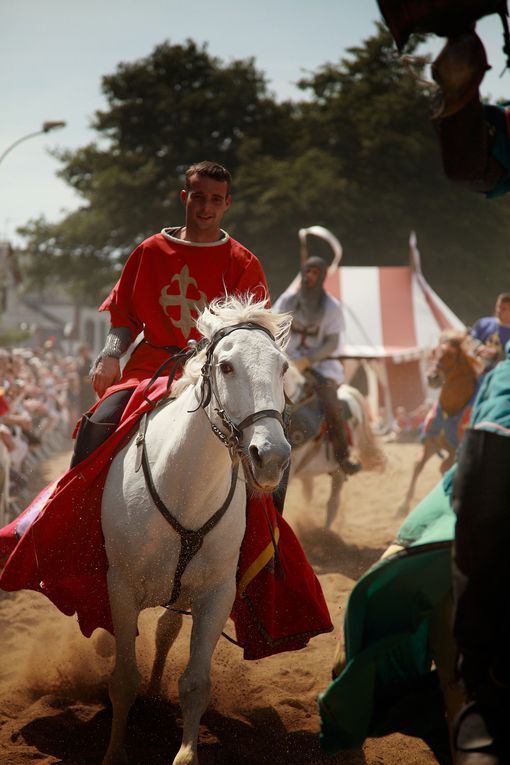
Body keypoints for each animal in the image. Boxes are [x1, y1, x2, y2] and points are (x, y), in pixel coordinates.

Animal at [100, 296, 290, 764]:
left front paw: (186, 752)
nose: (271, 457)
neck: (184, 485)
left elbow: (195, 683)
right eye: (226, 366)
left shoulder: (215, 595)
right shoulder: (120, 586)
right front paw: (115, 751)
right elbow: (123, 678)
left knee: (167, 629)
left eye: (283, 367)